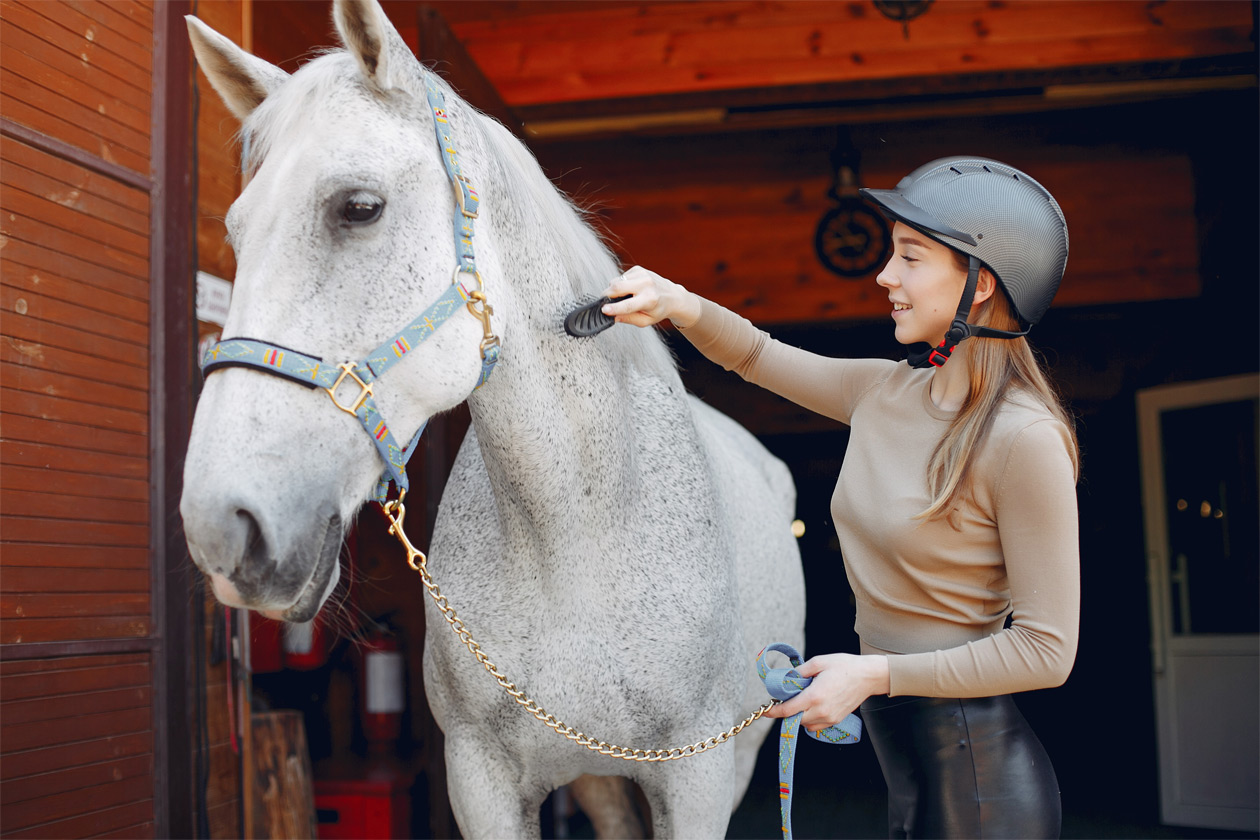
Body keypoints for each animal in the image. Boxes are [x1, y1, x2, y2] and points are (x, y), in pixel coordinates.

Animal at [180, 1, 805, 835]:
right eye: (237, 233)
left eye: (359, 208)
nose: (220, 523)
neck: (576, 532)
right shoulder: (481, 778)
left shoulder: (699, 777)